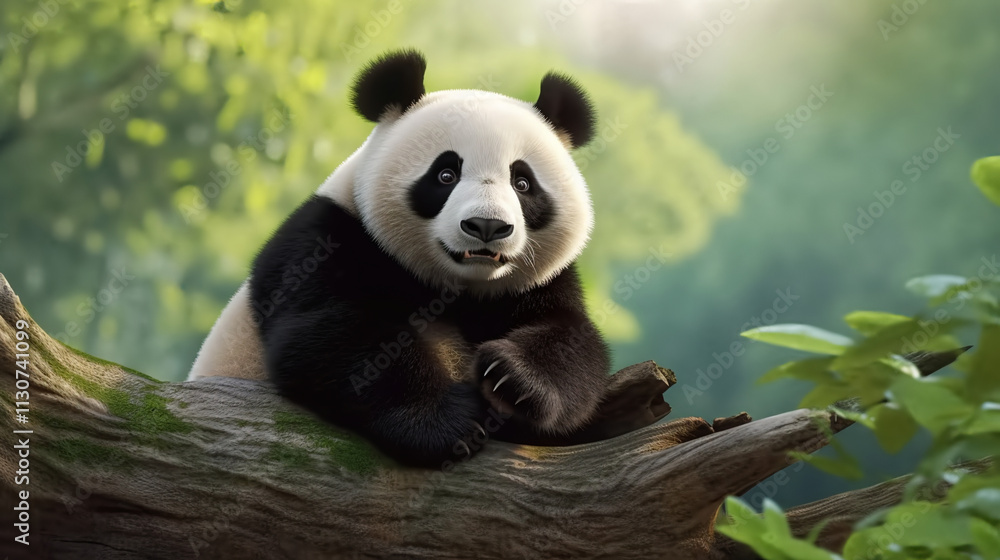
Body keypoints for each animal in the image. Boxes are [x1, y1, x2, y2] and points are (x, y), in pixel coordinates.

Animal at [188, 49, 611, 467]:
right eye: (445, 175)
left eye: (522, 183)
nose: (487, 225)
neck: (454, 288)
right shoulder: (323, 242)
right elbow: (331, 336)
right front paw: (448, 423)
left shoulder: (537, 281)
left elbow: (572, 339)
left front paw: (512, 379)